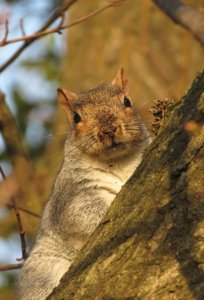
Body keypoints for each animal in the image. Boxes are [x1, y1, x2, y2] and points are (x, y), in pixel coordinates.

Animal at [17, 69, 151, 298]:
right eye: (76, 117)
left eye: (127, 101)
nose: (108, 130)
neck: (118, 161)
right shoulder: (73, 193)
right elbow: (81, 214)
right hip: (43, 272)